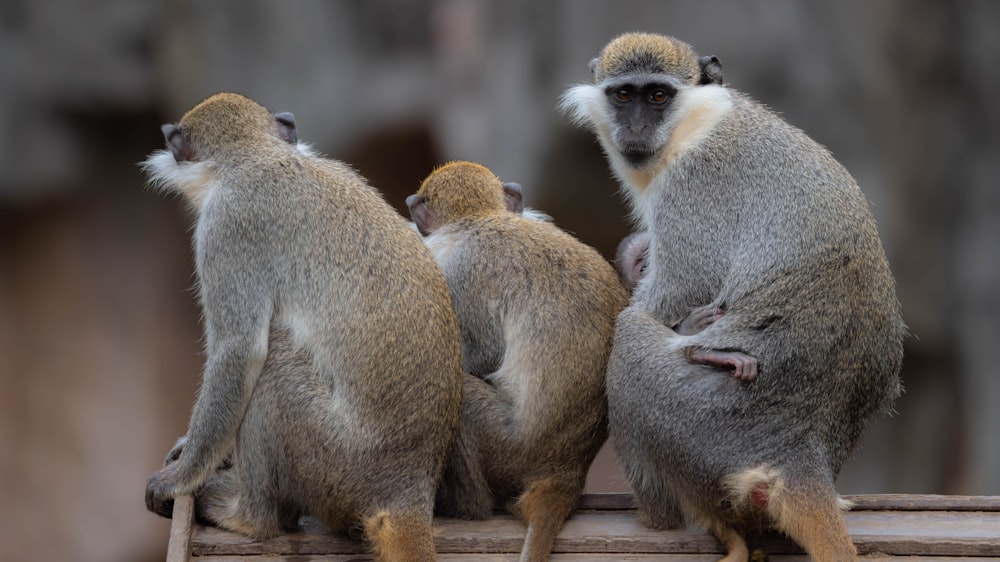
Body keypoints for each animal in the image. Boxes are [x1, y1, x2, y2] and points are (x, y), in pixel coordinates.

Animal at [142, 93, 464, 560]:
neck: (259, 154)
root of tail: (409, 488)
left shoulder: (227, 226)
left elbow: (239, 351)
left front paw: (181, 476)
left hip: (332, 459)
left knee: (271, 360)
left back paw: (250, 516)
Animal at [404, 160, 624, 556]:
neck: (480, 218)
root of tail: (566, 469)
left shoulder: (459, 269)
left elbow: (482, 355)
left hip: (509, 448)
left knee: (464, 397)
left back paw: (469, 507)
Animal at [564, 34, 908, 560]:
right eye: (624, 95)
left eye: (658, 96)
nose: (636, 126)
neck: (698, 123)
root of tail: (798, 451)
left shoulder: (693, 186)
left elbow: (675, 292)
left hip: (695, 414)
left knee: (632, 334)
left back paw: (657, 515)